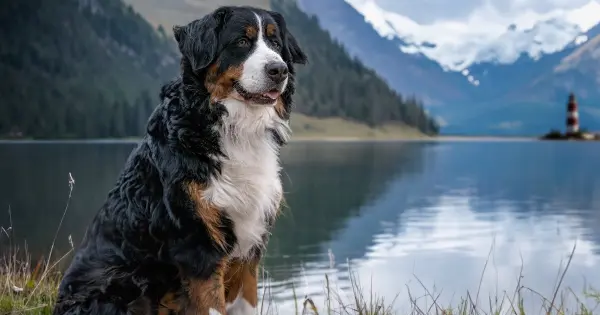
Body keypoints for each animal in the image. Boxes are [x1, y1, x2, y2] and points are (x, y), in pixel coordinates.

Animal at [52, 5, 308, 315]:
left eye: (275, 43)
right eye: (241, 42)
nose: (279, 70)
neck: (233, 128)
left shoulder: (249, 248)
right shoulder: (197, 246)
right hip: (118, 288)